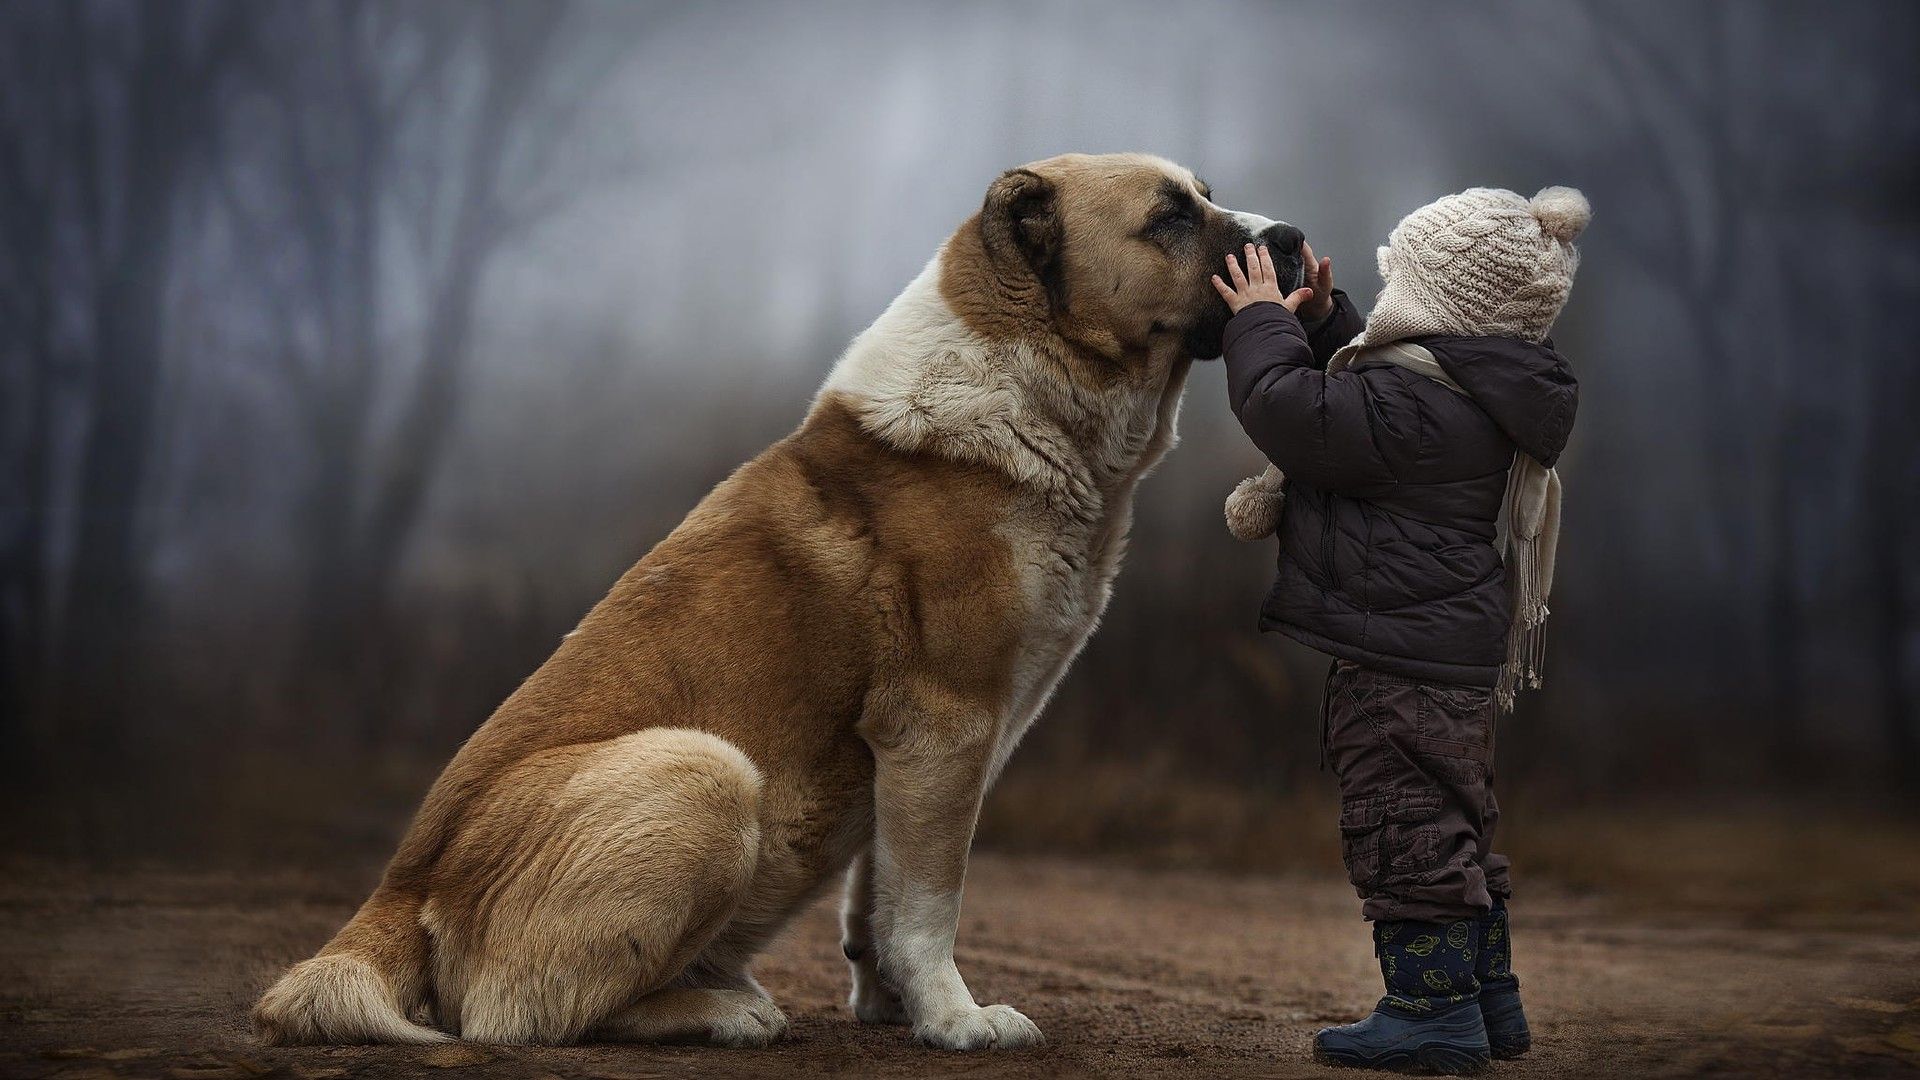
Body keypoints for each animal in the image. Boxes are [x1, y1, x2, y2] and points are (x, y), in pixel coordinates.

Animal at [259, 151, 1305, 1045]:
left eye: (1206, 196)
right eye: (1169, 218)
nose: (1292, 238)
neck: (1026, 386)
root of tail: (396, 893)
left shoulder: (918, 752)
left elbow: (881, 893)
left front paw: (895, 1007)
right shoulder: (946, 724)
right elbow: (930, 900)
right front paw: (957, 1020)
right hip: (707, 773)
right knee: (522, 1014)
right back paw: (725, 1011)